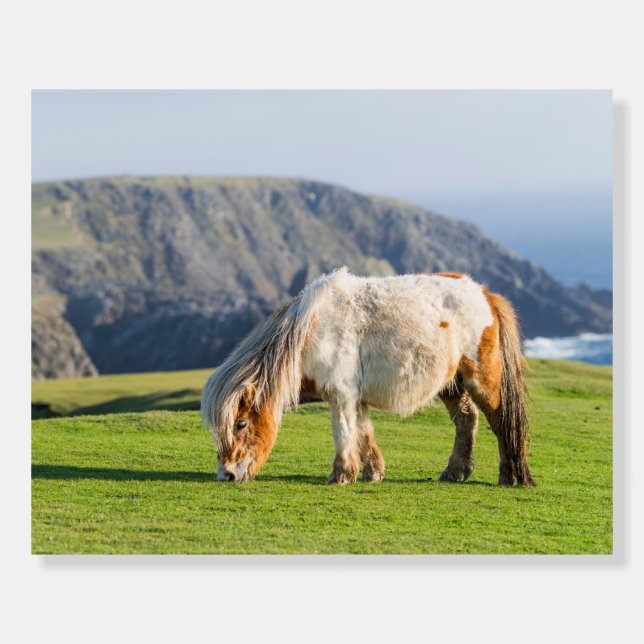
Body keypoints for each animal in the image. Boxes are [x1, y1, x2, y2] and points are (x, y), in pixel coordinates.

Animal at [201, 267, 535, 486]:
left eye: (241, 423)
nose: (227, 475)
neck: (311, 330)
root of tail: (486, 295)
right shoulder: (354, 397)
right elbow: (363, 433)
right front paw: (371, 473)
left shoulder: (341, 395)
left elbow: (344, 431)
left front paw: (340, 475)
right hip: (451, 384)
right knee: (467, 419)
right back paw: (455, 472)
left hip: (482, 380)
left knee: (501, 421)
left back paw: (508, 476)